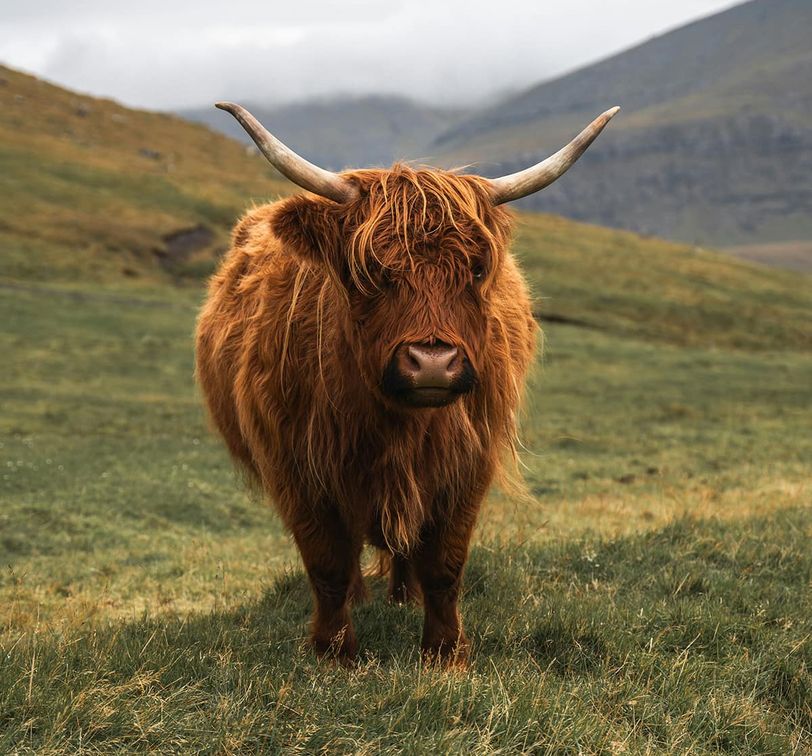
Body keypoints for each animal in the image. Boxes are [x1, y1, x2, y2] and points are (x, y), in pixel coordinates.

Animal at [195, 102, 619, 665]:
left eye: (476, 269)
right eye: (370, 270)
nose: (433, 362)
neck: (395, 426)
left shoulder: (467, 466)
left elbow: (444, 563)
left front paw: (445, 652)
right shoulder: (296, 468)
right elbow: (327, 562)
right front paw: (335, 652)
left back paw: (402, 595)